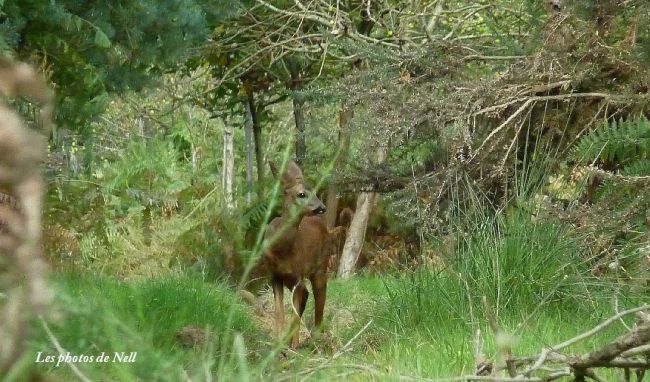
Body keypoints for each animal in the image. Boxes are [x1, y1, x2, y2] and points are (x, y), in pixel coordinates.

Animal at [264, 160, 334, 348]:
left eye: (315, 192)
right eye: (301, 194)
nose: (322, 208)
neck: (282, 250)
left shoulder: (297, 276)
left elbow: (295, 313)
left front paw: (291, 346)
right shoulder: (275, 275)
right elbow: (279, 311)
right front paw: (278, 343)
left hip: (320, 267)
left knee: (319, 301)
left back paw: (314, 341)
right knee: (307, 297)